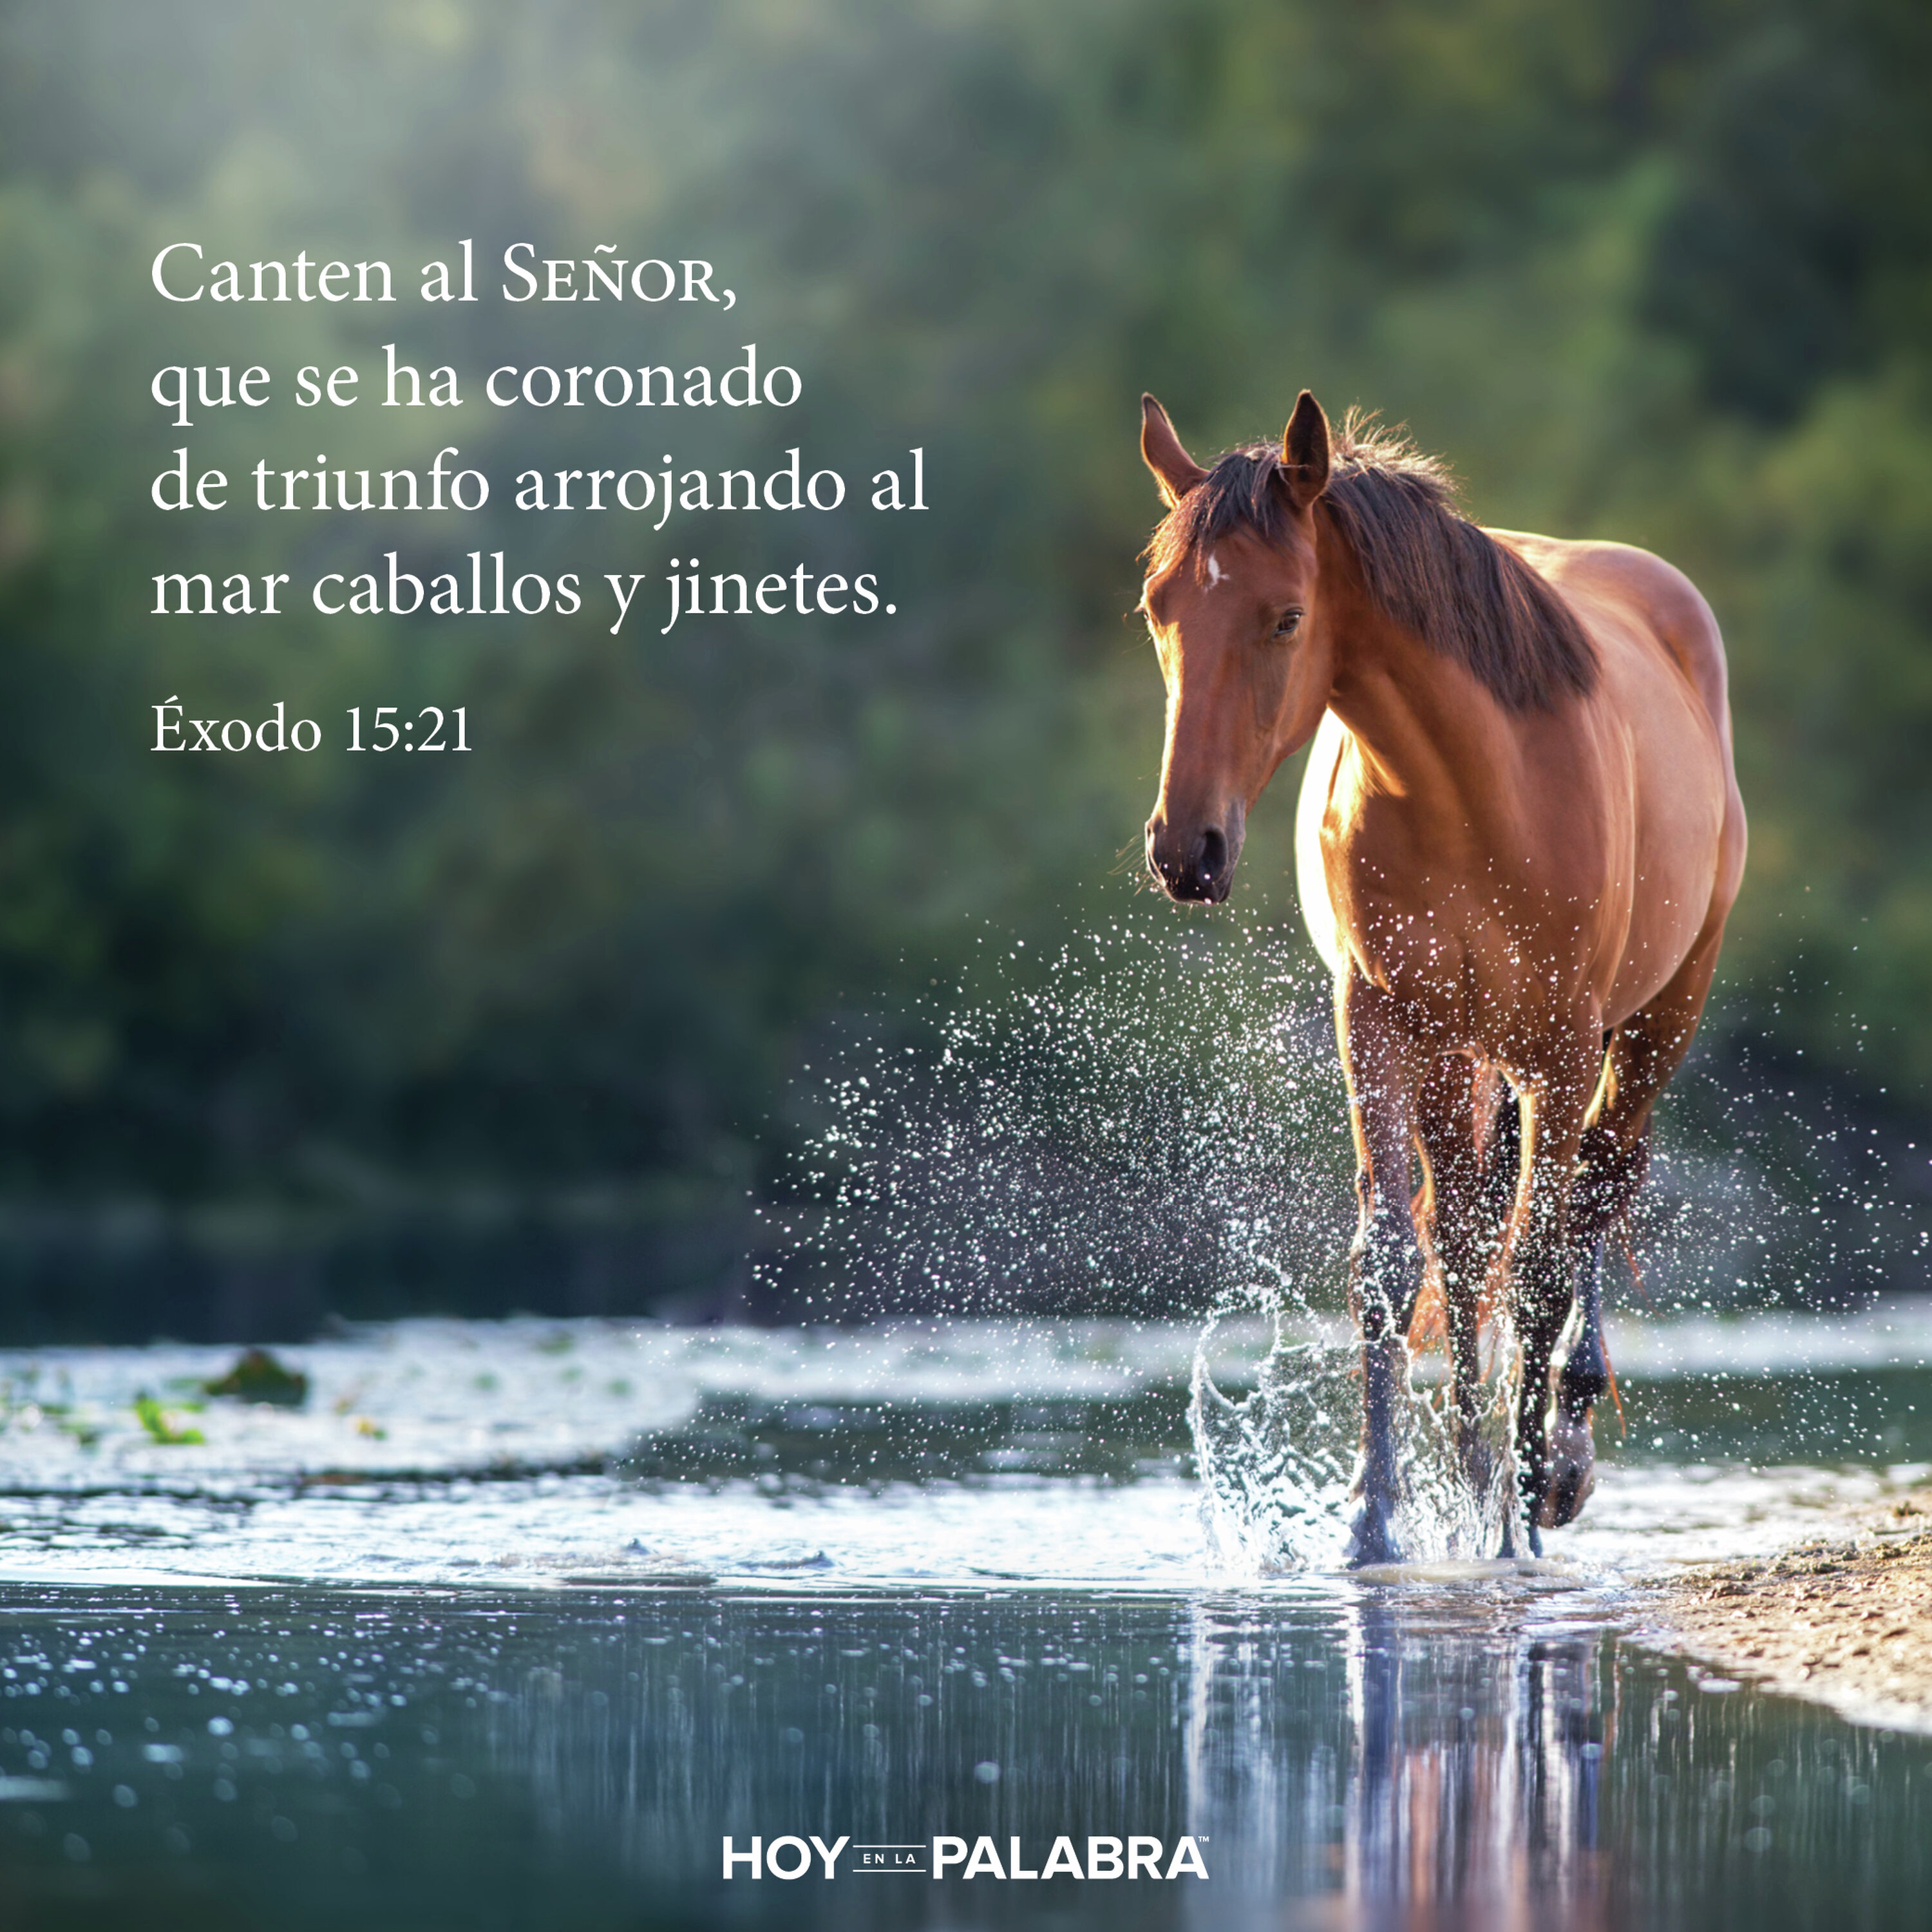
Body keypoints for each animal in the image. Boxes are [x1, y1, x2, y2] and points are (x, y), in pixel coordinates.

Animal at [1137, 390, 1746, 1564]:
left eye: (1286, 618)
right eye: (1158, 609)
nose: (1187, 849)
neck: (1474, 782)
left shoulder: (1561, 1049)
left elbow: (1541, 1265)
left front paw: (1518, 1519)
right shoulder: (1375, 1021)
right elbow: (1394, 1260)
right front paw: (1377, 1519)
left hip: (1655, 1021)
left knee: (1597, 1184)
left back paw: (1553, 1460)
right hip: (1460, 1054)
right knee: (1467, 1237)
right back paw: (1474, 1469)